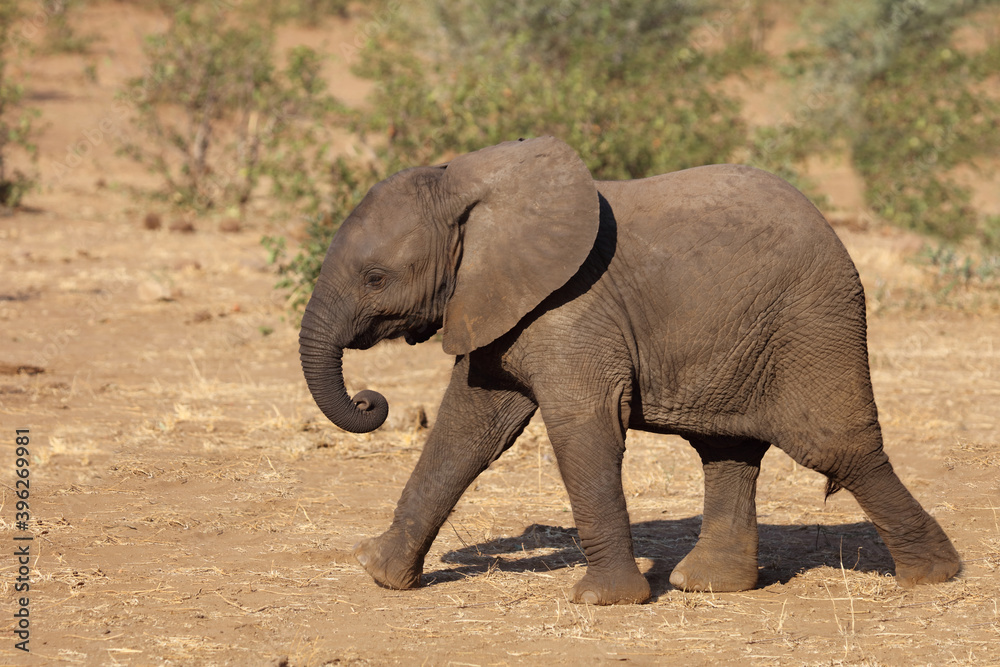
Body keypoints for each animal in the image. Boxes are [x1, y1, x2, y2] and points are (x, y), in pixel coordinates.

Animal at [299, 136, 961, 605]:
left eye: (376, 278)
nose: (370, 400)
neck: (469, 184)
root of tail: (833, 231)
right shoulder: (499, 302)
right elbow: (467, 429)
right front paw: (378, 571)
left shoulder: (571, 309)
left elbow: (581, 426)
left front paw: (603, 601)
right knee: (728, 451)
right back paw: (709, 586)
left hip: (814, 321)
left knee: (836, 447)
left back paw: (935, 575)